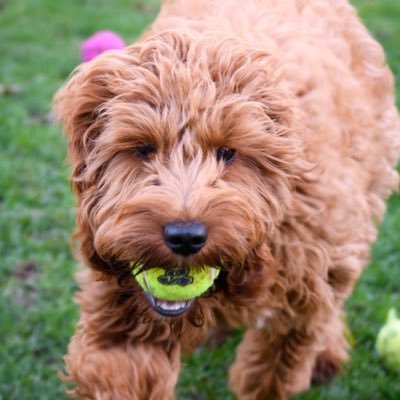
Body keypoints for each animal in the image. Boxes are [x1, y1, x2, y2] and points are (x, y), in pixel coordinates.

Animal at [54, 0, 400, 400]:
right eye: (143, 148)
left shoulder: (305, 288)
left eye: (228, 152)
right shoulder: (122, 312)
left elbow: (275, 366)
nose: (185, 237)